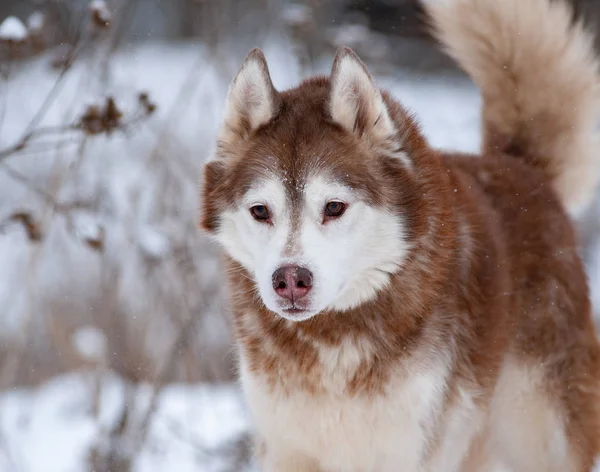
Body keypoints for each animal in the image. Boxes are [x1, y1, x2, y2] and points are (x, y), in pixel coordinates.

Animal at [200, 0, 600, 470]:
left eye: (334, 207)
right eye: (261, 211)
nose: (291, 280)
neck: (332, 341)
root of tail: (521, 168)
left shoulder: (405, 449)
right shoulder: (285, 448)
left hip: (539, 436)